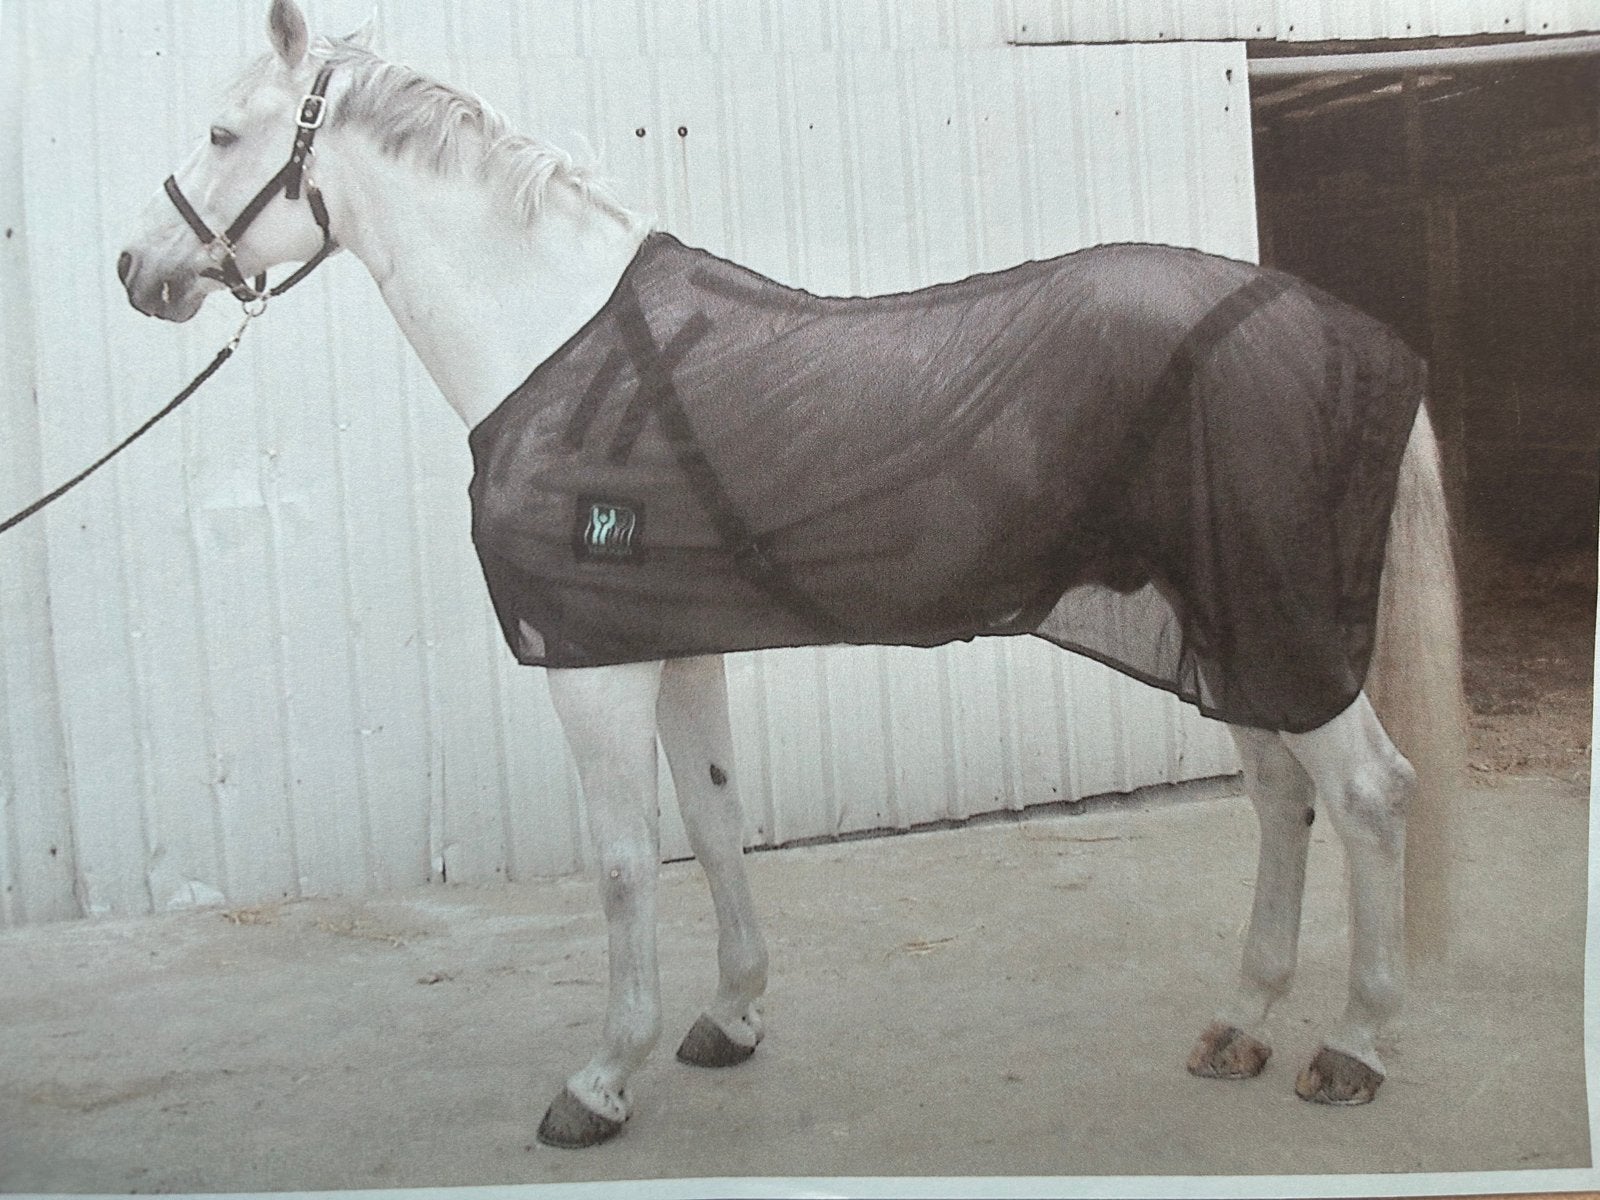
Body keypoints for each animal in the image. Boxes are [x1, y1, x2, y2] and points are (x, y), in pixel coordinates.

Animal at [116, 0, 1464, 1150]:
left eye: (226, 132)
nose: (137, 270)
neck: (551, 337)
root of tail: (1342, 331)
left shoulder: (587, 664)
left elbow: (623, 863)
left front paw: (600, 1081)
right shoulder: (672, 643)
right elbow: (715, 823)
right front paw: (732, 1017)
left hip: (1277, 625)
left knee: (1366, 793)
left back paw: (1351, 1046)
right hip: (1222, 630)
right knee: (1280, 798)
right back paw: (1242, 1022)